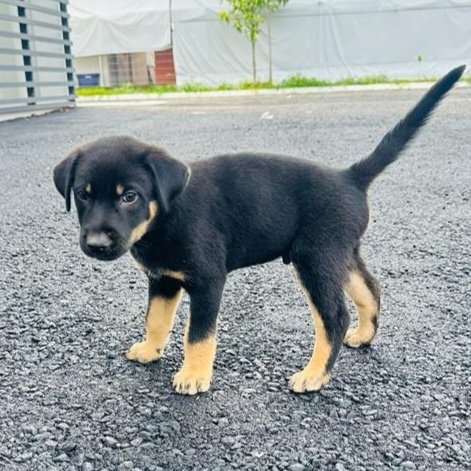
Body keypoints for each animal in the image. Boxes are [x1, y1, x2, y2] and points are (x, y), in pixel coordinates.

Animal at [54, 65, 464, 394]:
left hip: (315, 259)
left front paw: (194, 376)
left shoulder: (208, 280)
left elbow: (198, 334)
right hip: (341, 254)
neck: (164, 217)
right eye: (82, 194)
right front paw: (149, 349)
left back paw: (314, 375)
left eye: (130, 196)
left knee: (334, 317)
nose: (95, 243)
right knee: (370, 290)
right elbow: (155, 319)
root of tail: (350, 177)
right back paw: (363, 336)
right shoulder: (164, 279)